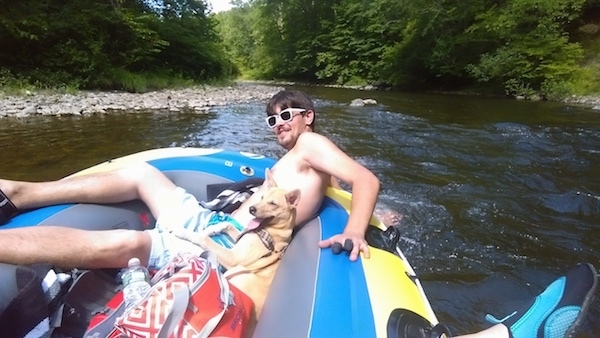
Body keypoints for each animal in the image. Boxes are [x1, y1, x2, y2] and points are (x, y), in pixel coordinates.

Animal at [169, 169, 300, 330]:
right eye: (262, 197)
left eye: (273, 204)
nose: (251, 209)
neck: (272, 232)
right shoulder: (238, 237)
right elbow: (227, 225)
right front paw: (211, 229)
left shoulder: (233, 258)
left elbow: (204, 239)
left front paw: (184, 232)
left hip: (238, 272)